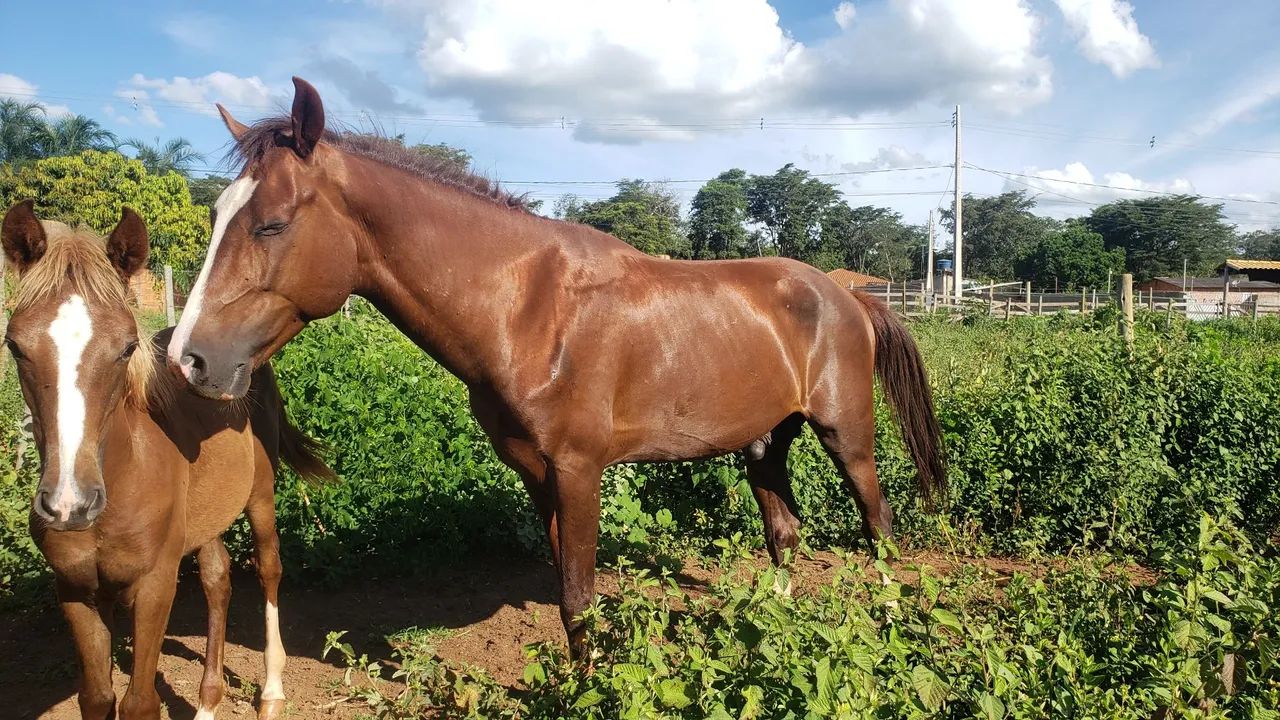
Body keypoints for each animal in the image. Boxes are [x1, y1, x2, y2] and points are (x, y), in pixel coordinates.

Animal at [2, 200, 333, 719]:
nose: (69, 505)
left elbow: (139, 701)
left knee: (268, 568)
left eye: (126, 347)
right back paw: (208, 701)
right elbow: (97, 697)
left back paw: (271, 691)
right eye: (14, 345)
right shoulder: (76, 590)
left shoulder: (155, 584)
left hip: (260, 497)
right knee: (218, 579)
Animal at [165, 77, 945, 658]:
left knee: (880, 530)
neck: (528, 310)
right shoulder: (538, 475)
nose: (189, 359)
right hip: (765, 442)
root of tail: (845, 294)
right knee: (784, 536)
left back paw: (888, 628)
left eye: (271, 223)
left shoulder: (578, 470)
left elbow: (578, 597)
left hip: (847, 435)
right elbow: (569, 601)